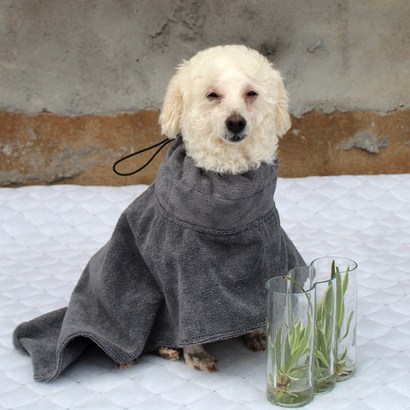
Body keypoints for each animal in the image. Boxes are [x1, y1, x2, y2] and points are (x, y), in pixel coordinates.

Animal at [155, 44, 294, 372]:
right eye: (212, 95)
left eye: (251, 93)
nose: (236, 122)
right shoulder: (183, 270)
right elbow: (189, 317)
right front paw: (196, 354)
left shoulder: (267, 250)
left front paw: (256, 333)